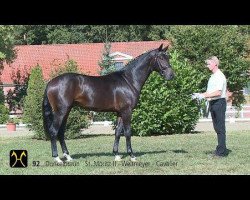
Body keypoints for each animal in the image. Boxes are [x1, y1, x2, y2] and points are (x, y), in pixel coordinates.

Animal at [42, 43, 174, 162]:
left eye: (168, 57)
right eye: (161, 58)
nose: (171, 75)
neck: (129, 80)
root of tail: (50, 83)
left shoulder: (120, 112)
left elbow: (117, 132)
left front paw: (116, 155)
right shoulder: (127, 111)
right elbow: (127, 132)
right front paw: (132, 156)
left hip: (66, 111)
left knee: (61, 132)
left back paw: (68, 157)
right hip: (61, 111)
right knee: (54, 131)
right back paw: (57, 158)